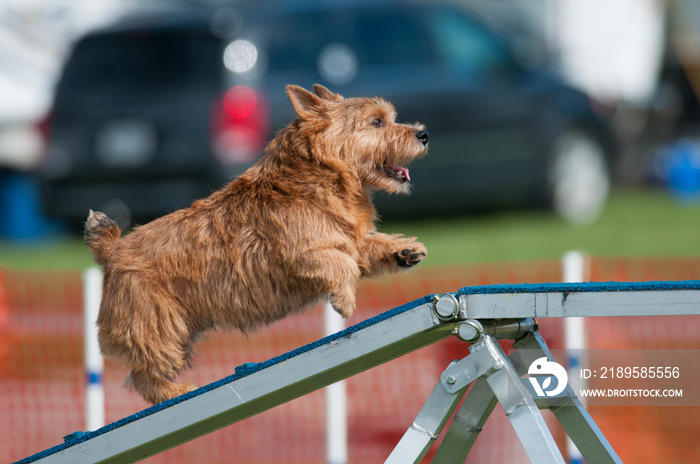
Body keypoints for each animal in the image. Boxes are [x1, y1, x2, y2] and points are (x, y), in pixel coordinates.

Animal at [85, 85, 430, 404]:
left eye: (390, 118)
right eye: (376, 122)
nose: (424, 133)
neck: (321, 175)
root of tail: (112, 250)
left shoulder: (347, 239)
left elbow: (367, 247)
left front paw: (404, 250)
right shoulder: (303, 252)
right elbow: (341, 265)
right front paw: (344, 300)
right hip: (160, 326)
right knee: (142, 374)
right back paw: (176, 392)